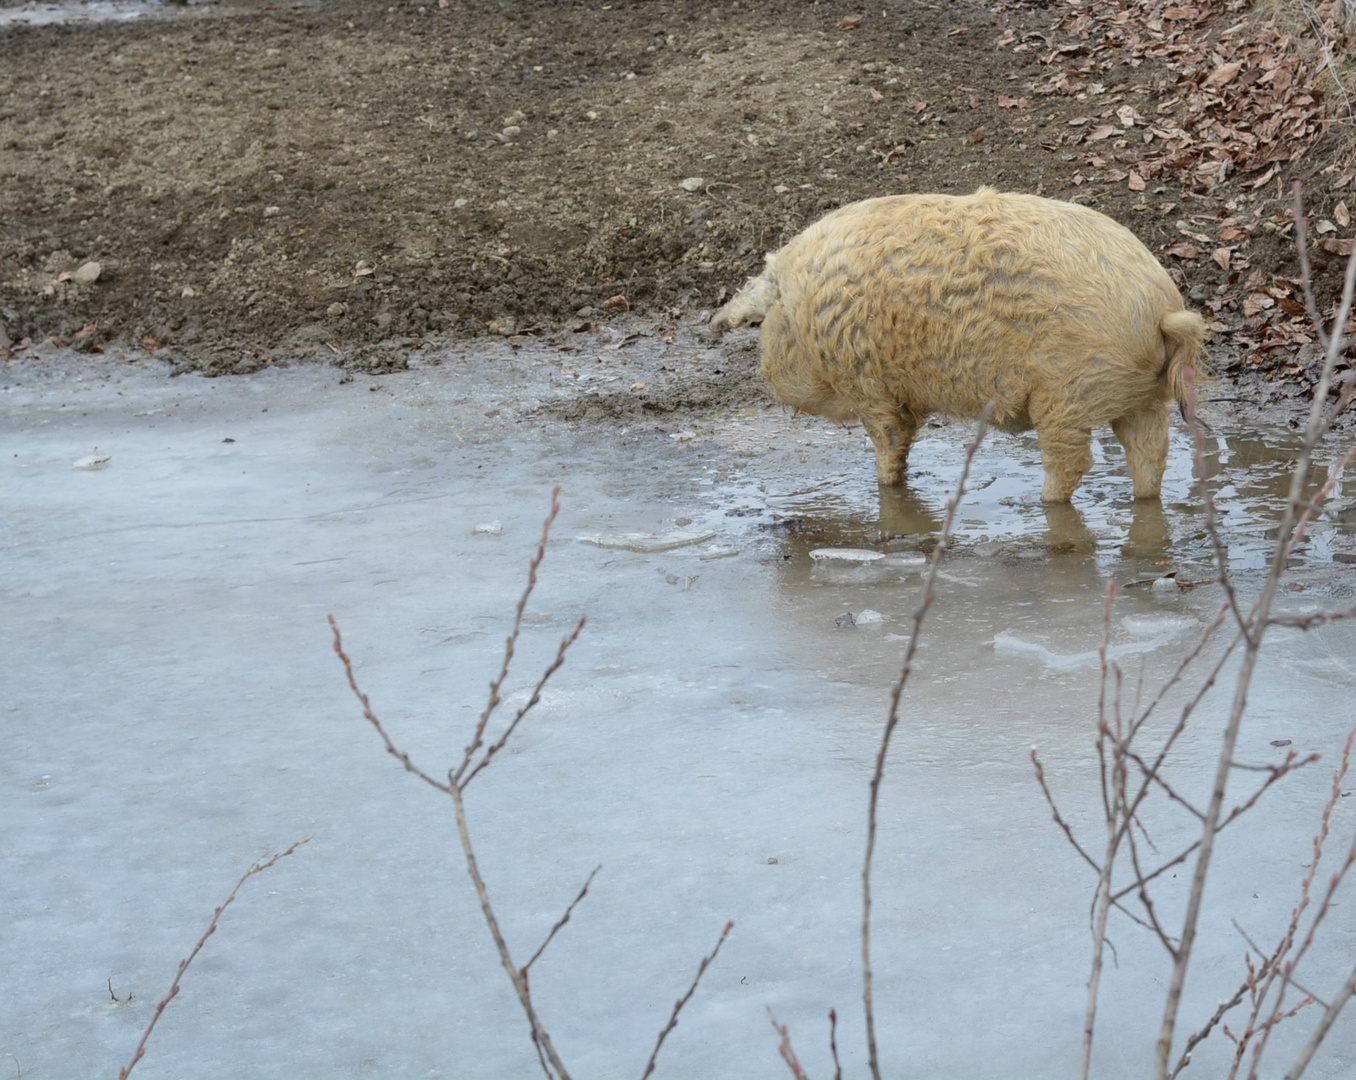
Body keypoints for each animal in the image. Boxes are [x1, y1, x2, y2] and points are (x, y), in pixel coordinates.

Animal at [705, 188, 1204, 502]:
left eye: (761, 325)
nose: (765, 374)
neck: (806, 316)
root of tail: (1160, 307)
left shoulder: (869, 384)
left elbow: (888, 442)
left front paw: (886, 490)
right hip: (1142, 398)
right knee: (1150, 454)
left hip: (1068, 393)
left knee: (1072, 462)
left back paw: (1040, 505)